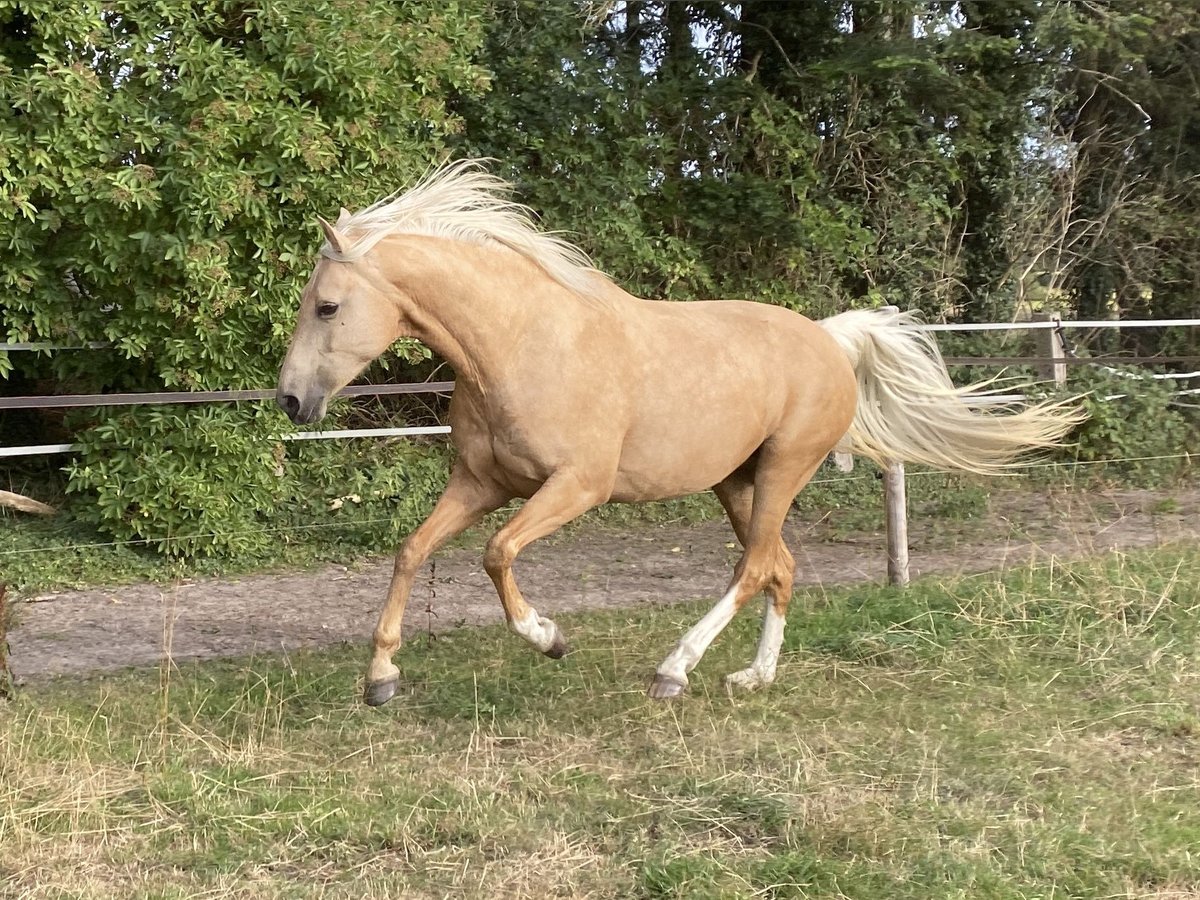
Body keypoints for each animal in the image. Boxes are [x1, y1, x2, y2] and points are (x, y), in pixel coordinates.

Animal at [276, 162, 1084, 710]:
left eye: (326, 306)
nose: (290, 400)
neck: (521, 343)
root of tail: (829, 339)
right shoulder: (482, 483)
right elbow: (413, 550)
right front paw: (381, 677)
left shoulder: (577, 487)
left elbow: (497, 553)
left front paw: (549, 637)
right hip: (737, 483)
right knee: (780, 567)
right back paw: (753, 675)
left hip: (785, 469)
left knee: (753, 569)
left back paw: (675, 670)